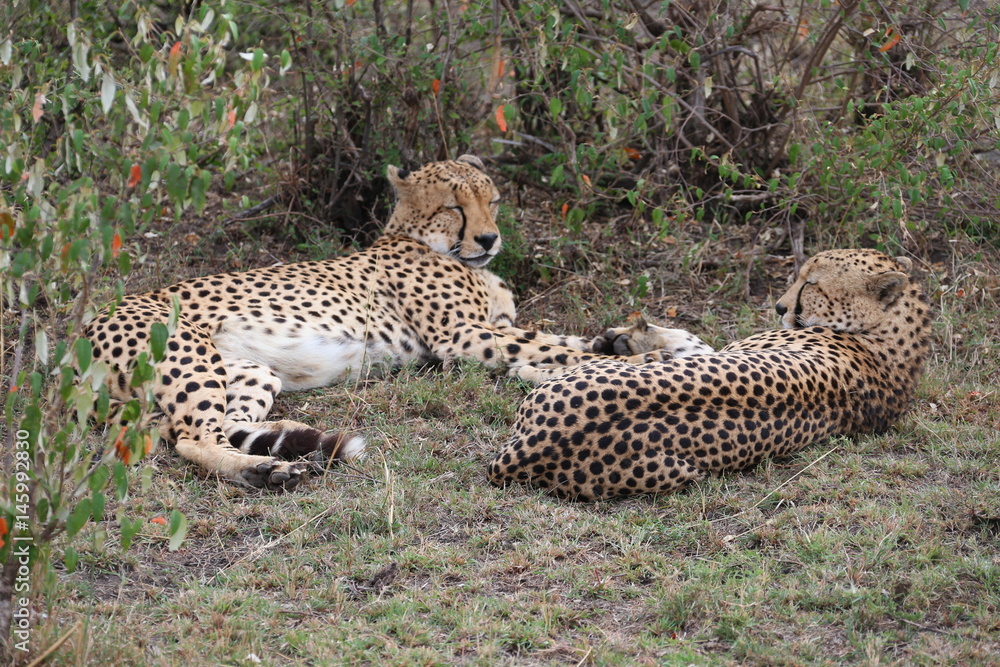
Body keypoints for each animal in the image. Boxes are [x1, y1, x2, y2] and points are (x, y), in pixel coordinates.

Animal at [84, 155, 709, 491]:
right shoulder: (461, 338)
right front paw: (652, 359)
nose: (490, 238)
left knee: (218, 426)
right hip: (186, 361)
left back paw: (279, 452)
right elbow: (564, 351)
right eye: (455, 207)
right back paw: (263, 472)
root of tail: (81, 334)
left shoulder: (493, 330)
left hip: (250, 373)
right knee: (189, 438)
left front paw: (658, 338)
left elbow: (561, 339)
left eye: (492, 200)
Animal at [487, 249, 933, 501]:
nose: (779, 306)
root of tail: (524, 453)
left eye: (812, 284)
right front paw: (629, 335)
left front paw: (625, 339)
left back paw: (532, 367)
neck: (884, 339)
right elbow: (691, 339)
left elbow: (691, 344)